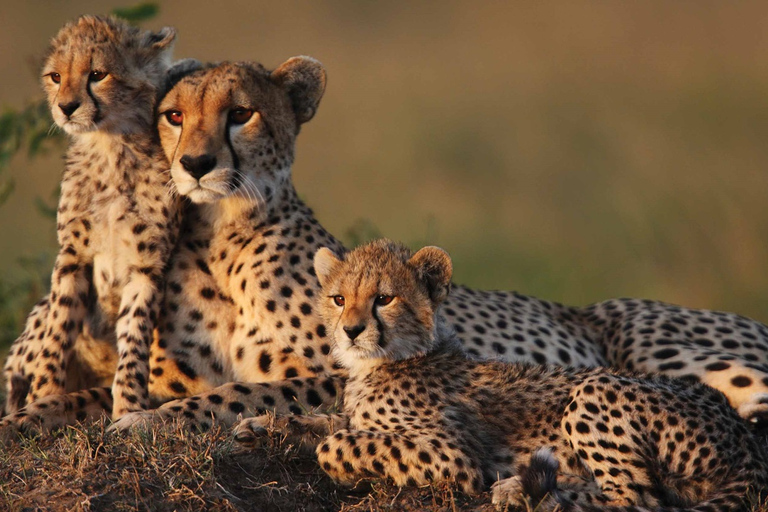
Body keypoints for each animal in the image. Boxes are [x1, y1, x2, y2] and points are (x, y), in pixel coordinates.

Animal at [234, 241, 768, 512]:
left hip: (595, 389)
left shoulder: (454, 456)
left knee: (638, 498)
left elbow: (338, 443)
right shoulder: (356, 414)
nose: (350, 330)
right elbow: (327, 421)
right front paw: (262, 426)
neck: (388, 361)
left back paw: (530, 492)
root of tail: (740, 431)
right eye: (339, 298)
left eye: (384, 298)